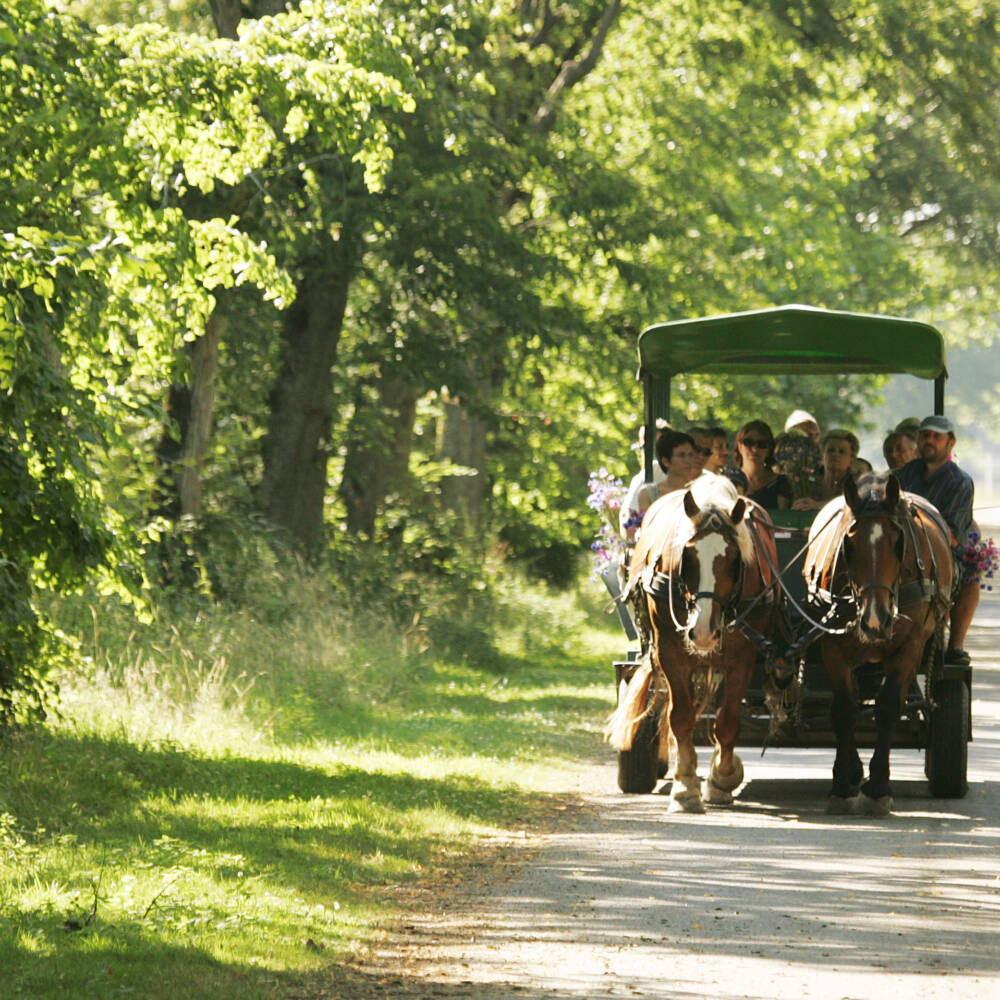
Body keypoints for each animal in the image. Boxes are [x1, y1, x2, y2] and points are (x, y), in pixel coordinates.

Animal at [608, 474, 780, 812]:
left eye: (734, 560)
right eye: (687, 557)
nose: (702, 633)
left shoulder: (743, 657)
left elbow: (727, 721)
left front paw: (723, 778)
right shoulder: (670, 652)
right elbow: (680, 717)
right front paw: (685, 786)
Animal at [804, 472, 952, 816]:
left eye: (899, 543)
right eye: (848, 544)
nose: (875, 620)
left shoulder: (911, 644)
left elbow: (887, 706)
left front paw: (879, 787)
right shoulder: (833, 645)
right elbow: (844, 709)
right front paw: (842, 786)